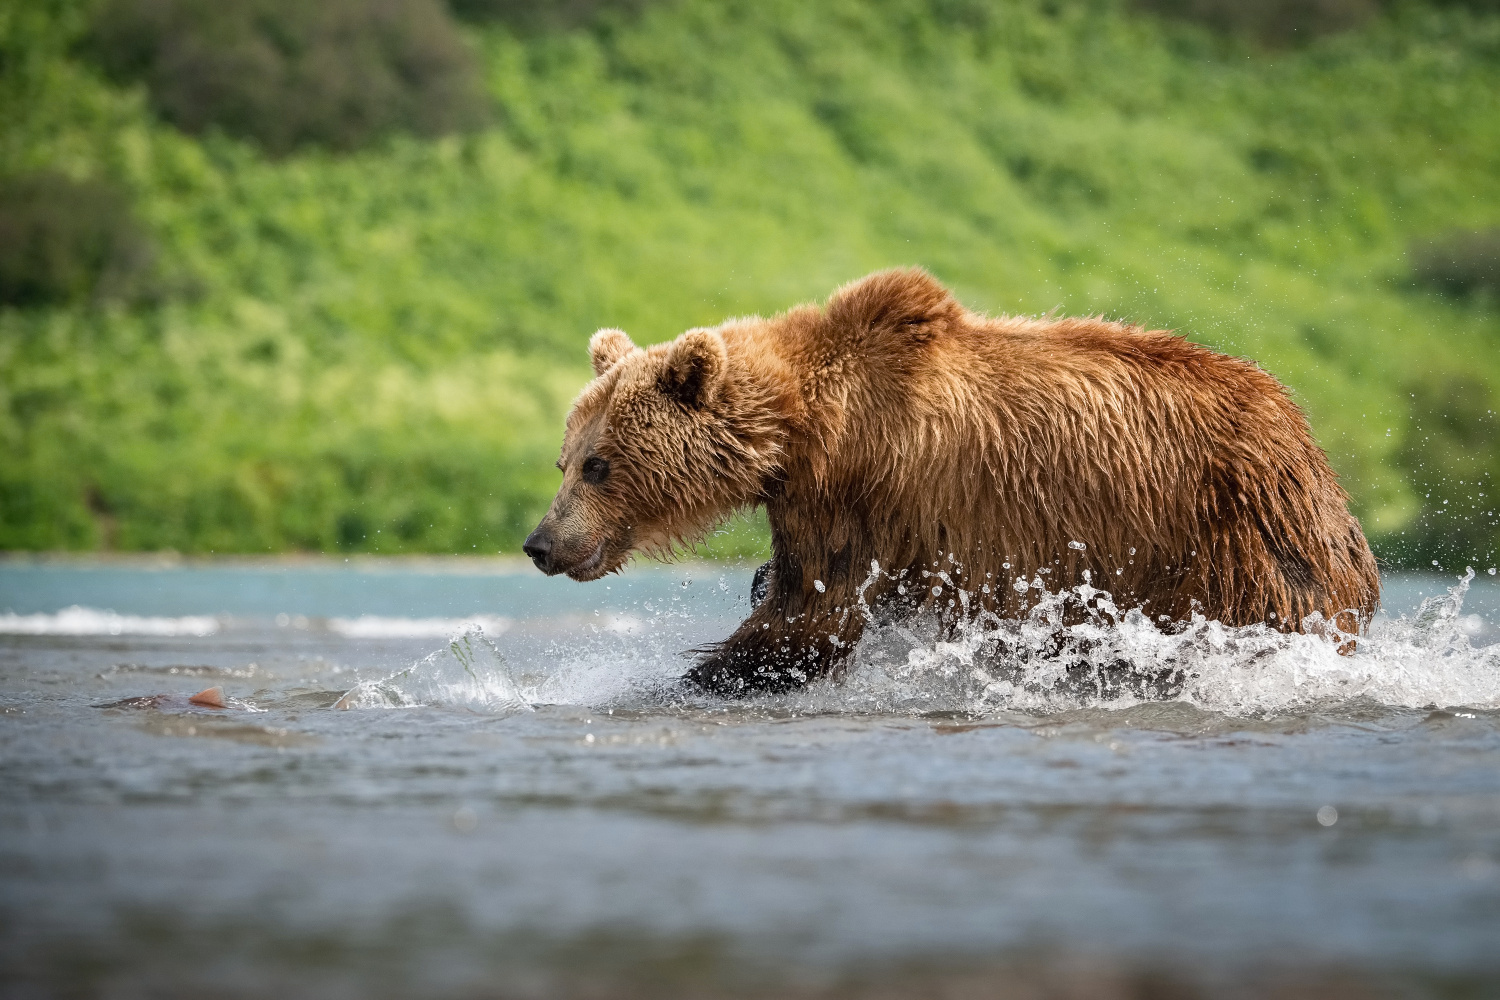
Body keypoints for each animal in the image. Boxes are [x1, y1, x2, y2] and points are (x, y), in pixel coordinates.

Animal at [522, 269, 1374, 701]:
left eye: (598, 464)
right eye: (565, 460)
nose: (540, 543)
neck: (802, 427)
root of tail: (1306, 444)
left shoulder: (864, 496)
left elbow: (810, 617)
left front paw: (688, 676)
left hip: (1230, 540)